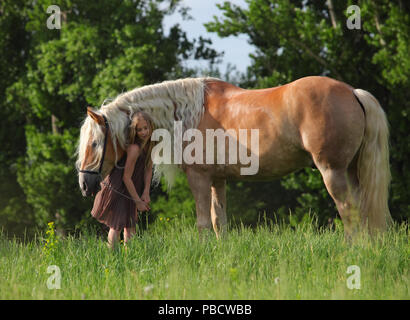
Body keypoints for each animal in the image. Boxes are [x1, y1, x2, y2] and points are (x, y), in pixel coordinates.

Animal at [76, 76, 390, 239]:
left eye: (95, 142)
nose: (84, 185)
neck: (189, 113)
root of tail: (352, 91)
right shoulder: (218, 180)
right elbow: (220, 221)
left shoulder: (200, 178)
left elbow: (204, 222)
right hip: (351, 171)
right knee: (362, 209)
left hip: (332, 171)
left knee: (348, 210)